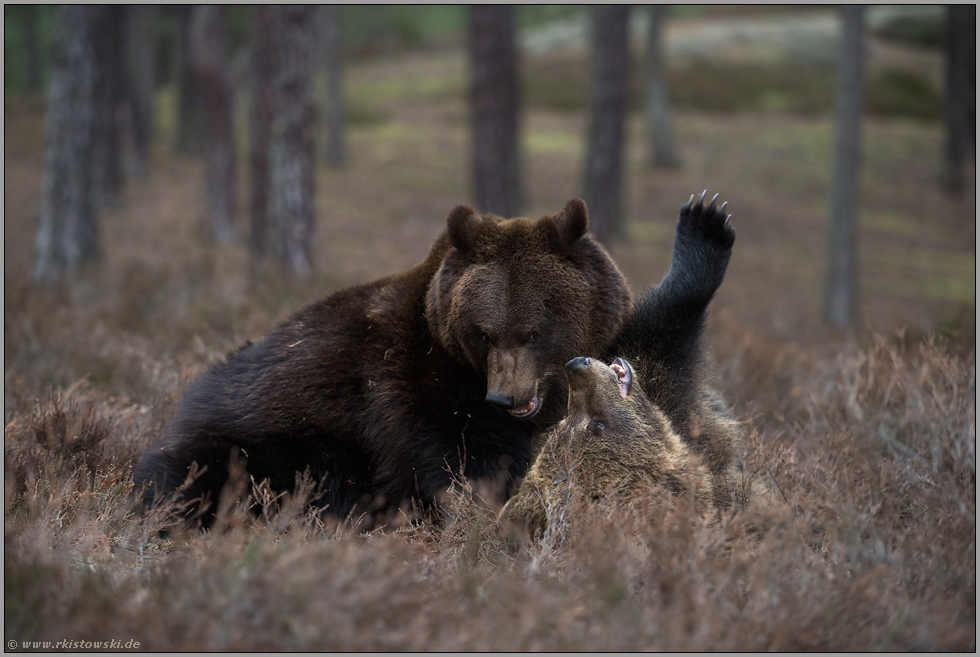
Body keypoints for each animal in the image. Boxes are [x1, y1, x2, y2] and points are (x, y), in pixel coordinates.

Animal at [134, 200, 632, 528]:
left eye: (532, 331)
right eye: (484, 332)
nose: (504, 396)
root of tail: (183, 404)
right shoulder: (412, 391)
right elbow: (449, 466)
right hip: (263, 440)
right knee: (196, 475)